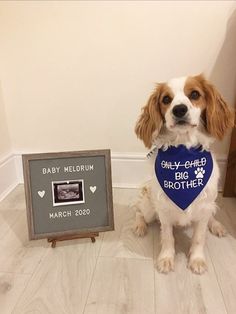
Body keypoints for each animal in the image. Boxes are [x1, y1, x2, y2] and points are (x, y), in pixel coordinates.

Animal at [133, 75, 234, 274]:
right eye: (166, 99)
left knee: (211, 217)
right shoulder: (163, 209)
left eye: (194, 94)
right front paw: (166, 258)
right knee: (139, 212)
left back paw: (217, 225)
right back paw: (140, 225)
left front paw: (197, 260)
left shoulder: (204, 206)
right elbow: (167, 237)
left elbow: (199, 237)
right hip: (149, 208)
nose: (179, 109)